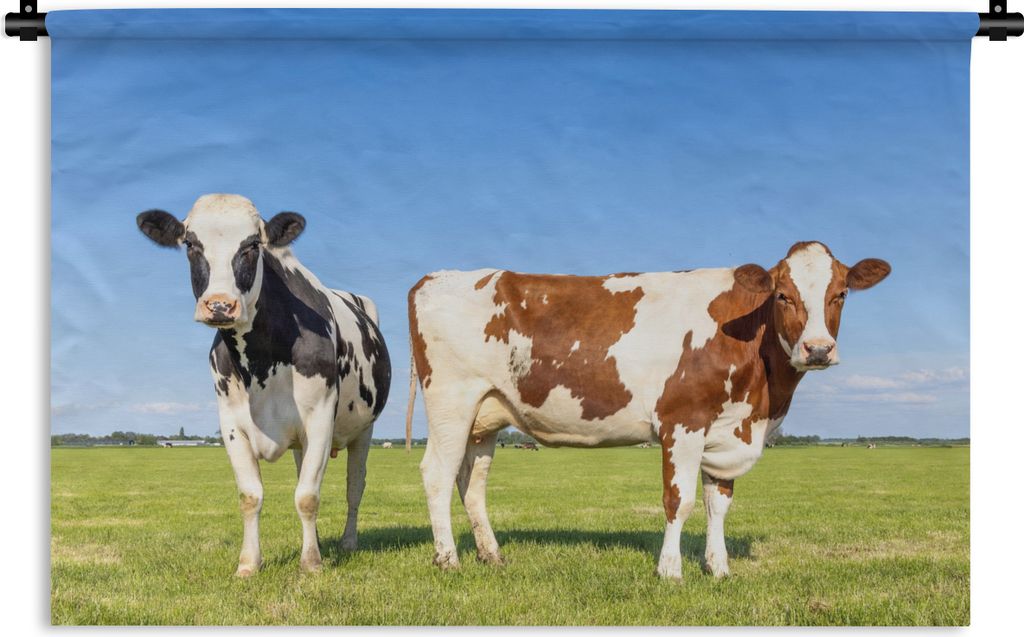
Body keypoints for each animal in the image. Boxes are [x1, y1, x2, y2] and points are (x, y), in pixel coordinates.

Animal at [137, 194, 391, 576]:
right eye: (190, 244)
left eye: (252, 245)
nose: (220, 305)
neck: (260, 361)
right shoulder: (231, 424)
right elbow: (251, 496)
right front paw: (249, 563)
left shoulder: (320, 418)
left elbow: (308, 496)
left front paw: (311, 564)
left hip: (363, 431)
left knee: (354, 486)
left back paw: (347, 542)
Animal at [405, 241, 889, 579]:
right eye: (784, 295)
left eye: (841, 294)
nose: (818, 349)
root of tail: (434, 277)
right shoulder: (683, 420)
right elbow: (680, 500)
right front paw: (670, 570)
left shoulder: (728, 429)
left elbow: (718, 503)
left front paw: (718, 568)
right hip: (451, 400)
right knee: (437, 474)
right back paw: (448, 559)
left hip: (485, 416)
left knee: (471, 481)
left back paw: (492, 555)